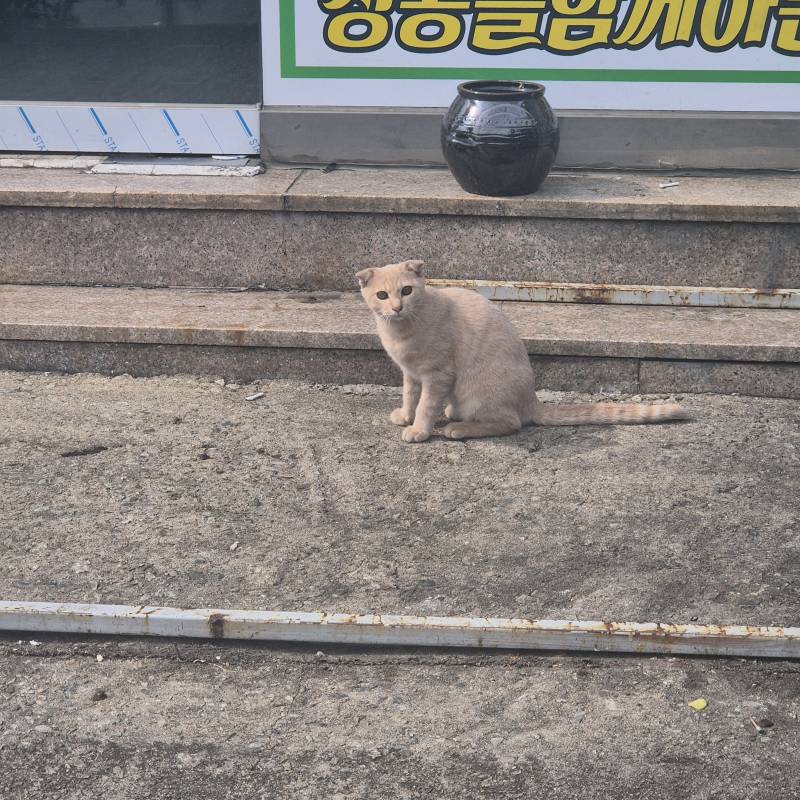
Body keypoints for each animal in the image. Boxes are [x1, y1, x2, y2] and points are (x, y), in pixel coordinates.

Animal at [356, 260, 688, 444]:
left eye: (407, 291)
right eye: (382, 295)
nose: (396, 307)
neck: (401, 331)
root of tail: (532, 400)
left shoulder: (437, 376)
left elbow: (425, 405)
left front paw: (419, 429)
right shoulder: (411, 375)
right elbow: (411, 397)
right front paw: (405, 416)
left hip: (477, 391)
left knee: (510, 423)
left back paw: (459, 428)